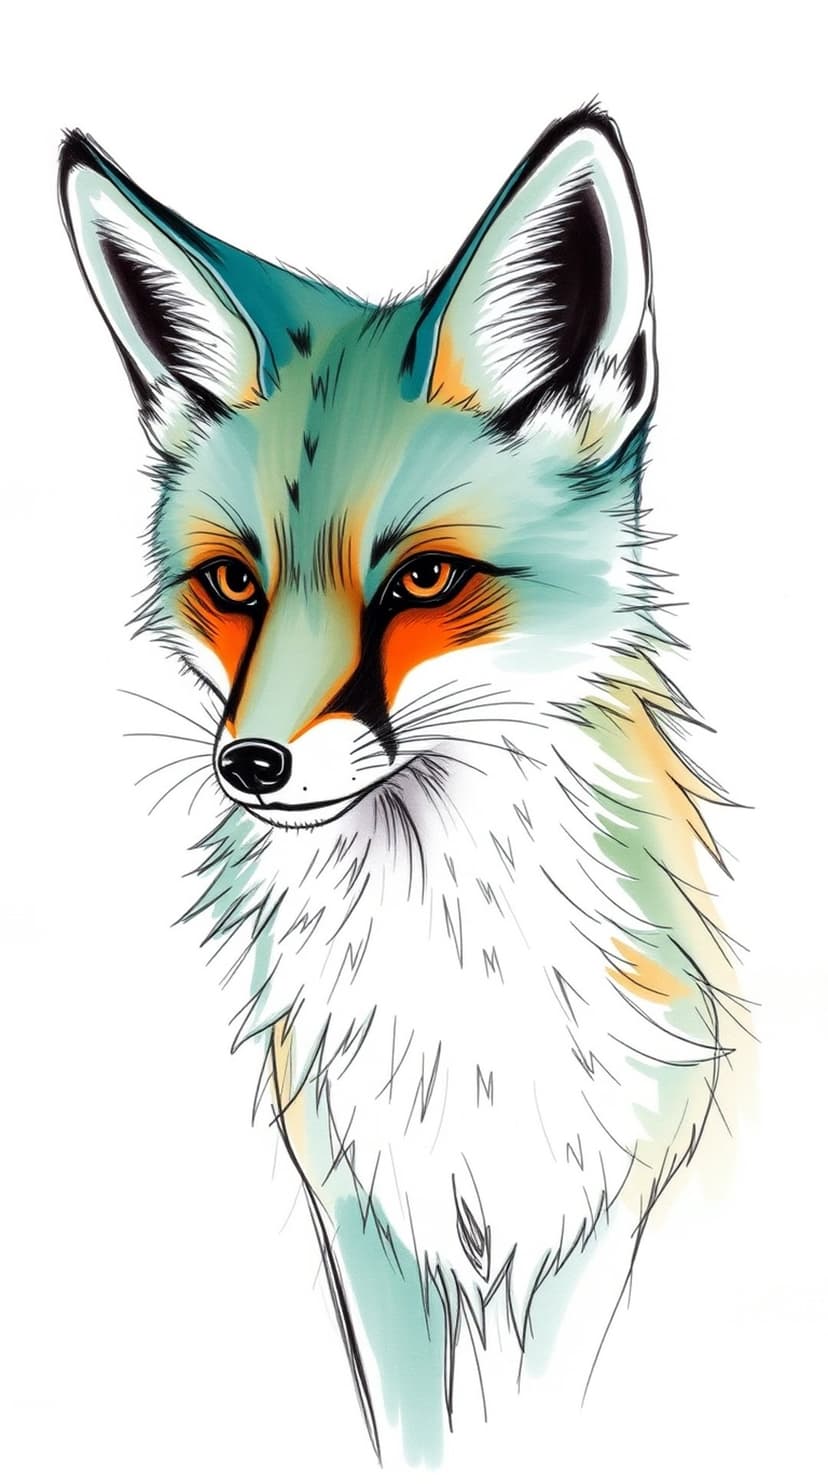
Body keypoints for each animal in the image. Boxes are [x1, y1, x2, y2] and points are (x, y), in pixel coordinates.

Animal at [59, 106, 747, 1466]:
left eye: (423, 581)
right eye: (233, 584)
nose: (250, 763)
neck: (457, 994)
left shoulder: (602, 1214)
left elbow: (547, 1414)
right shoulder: (369, 1214)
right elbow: (416, 1433)